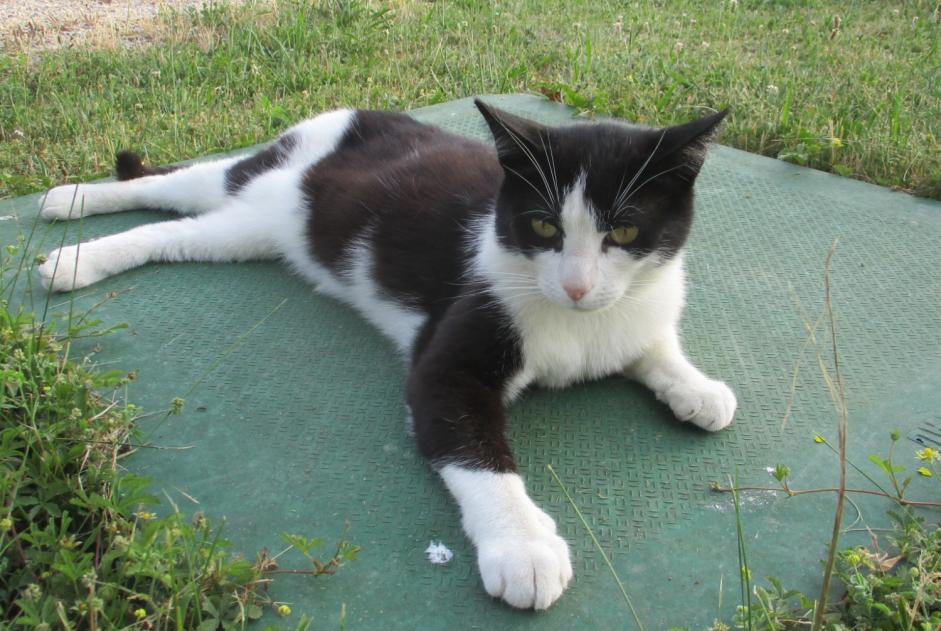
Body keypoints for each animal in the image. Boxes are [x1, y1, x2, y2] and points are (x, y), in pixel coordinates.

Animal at [40, 100, 740, 612]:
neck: (580, 324)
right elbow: (474, 451)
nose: (575, 286)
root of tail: (356, 114)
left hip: (249, 230)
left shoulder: (634, 310)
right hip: (262, 200)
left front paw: (697, 387)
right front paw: (522, 547)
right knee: (173, 202)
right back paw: (72, 230)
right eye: (543, 226)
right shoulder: (450, 360)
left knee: (183, 219)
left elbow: (651, 345)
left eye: (623, 230)